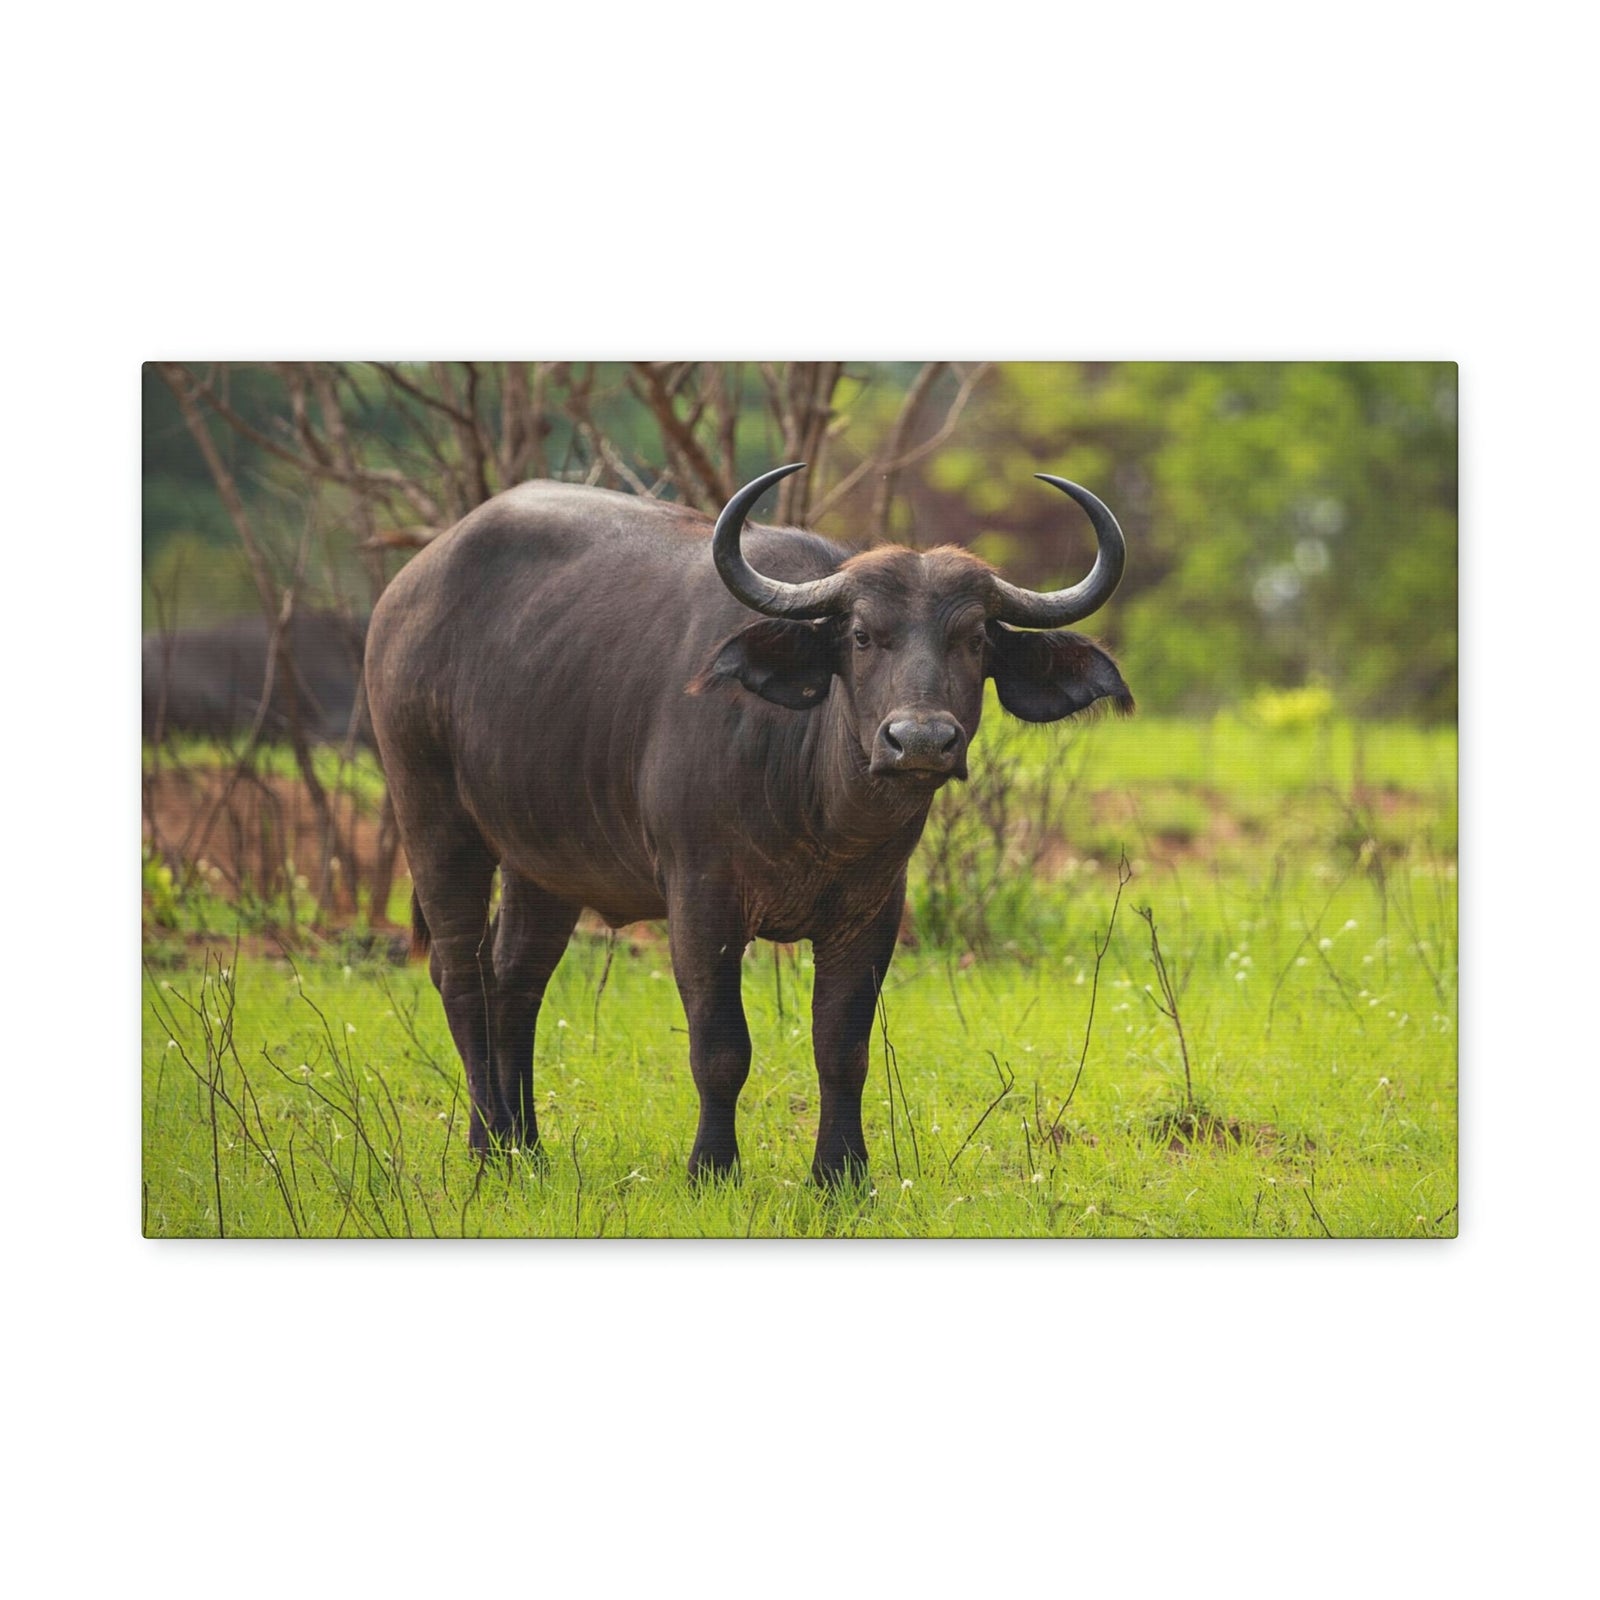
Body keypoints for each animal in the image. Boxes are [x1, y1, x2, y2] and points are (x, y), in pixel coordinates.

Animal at [364, 463, 1131, 1183]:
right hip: (433, 818)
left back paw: (524, 1148)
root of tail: (403, 593)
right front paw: (711, 1166)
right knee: (461, 975)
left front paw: (841, 1174)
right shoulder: (701, 902)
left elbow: (843, 1048)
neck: (819, 814)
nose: (918, 741)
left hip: (543, 864)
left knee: (515, 979)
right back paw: (488, 1145)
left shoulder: (873, 911)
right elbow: (720, 1047)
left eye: (973, 640)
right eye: (861, 635)